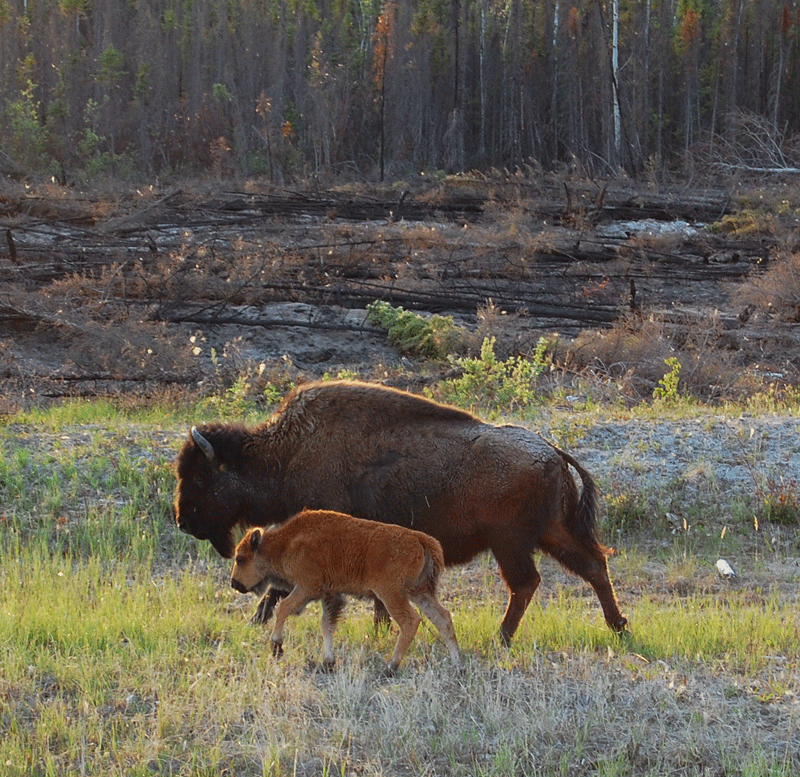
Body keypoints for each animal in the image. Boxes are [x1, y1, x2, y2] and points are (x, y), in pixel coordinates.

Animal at [173, 378, 624, 644]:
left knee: (526, 583)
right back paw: (617, 627)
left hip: (510, 542)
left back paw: (501, 637)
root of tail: (553, 452)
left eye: (200, 478)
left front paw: (256, 623)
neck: (286, 454)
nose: (183, 520)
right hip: (550, 533)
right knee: (592, 565)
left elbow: (280, 586)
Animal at [230, 510, 462, 672]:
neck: (287, 543)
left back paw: (390, 667)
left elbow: (284, 609)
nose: (234, 584)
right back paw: (458, 665)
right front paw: (328, 662)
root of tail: (421, 539)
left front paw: (277, 647)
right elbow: (327, 625)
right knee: (443, 618)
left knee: (410, 621)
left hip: (392, 594)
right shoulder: (330, 595)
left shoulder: (307, 588)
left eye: (240, 559)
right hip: (420, 593)